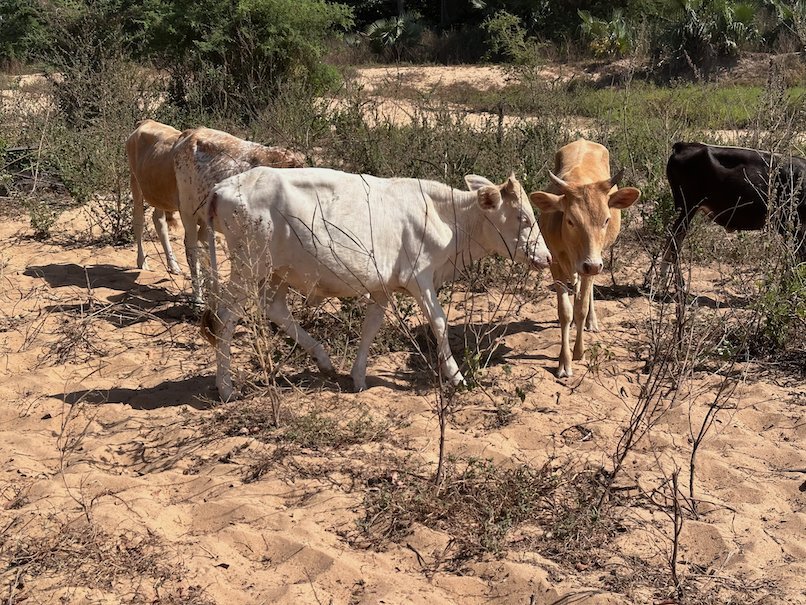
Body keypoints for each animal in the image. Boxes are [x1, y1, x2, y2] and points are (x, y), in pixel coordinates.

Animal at [126, 119, 183, 275]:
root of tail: (146, 121)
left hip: (158, 193)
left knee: (158, 220)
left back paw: (173, 265)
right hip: (135, 180)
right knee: (138, 219)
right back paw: (142, 262)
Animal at [172, 127, 306, 303]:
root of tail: (192, 132)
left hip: (205, 217)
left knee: (204, 246)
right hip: (188, 211)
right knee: (192, 249)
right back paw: (198, 297)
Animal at [200, 166, 552, 401]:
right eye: (523, 218)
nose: (547, 257)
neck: (447, 219)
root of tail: (223, 187)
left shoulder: (383, 286)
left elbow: (371, 326)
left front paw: (358, 378)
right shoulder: (419, 278)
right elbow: (439, 322)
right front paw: (456, 376)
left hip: (278, 271)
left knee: (275, 309)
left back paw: (324, 361)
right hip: (248, 265)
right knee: (226, 319)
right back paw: (226, 388)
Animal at [529, 139, 641, 378]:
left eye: (606, 219)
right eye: (571, 220)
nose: (592, 265)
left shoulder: (591, 264)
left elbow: (580, 308)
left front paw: (578, 352)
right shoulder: (555, 264)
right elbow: (565, 312)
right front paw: (564, 362)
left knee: (586, 294)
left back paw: (592, 321)